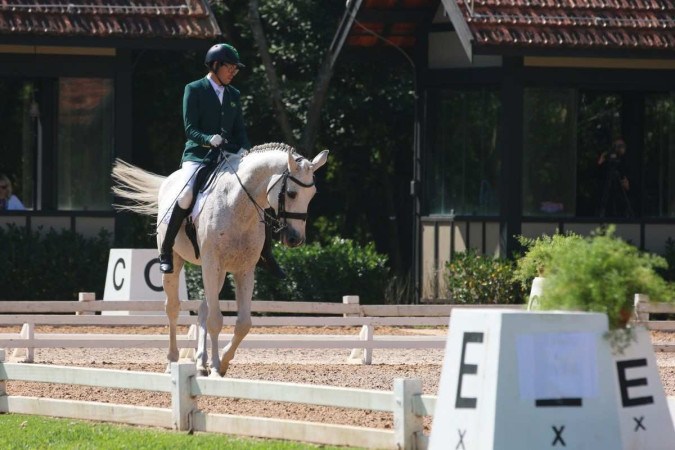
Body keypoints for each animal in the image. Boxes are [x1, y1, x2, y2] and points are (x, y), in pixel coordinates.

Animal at [112, 142, 328, 374]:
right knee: (173, 308)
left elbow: (243, 323)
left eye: (312, 195)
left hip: (219, 272)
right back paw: (172, 362)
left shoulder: (244, 270)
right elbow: (216, 319)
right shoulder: (211, 264)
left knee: (203, 310)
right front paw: (216, 367)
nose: (296, 239)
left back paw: (200, 362)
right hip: (179, 261)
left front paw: (222, 362)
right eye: (291, 193)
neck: (238, 204)